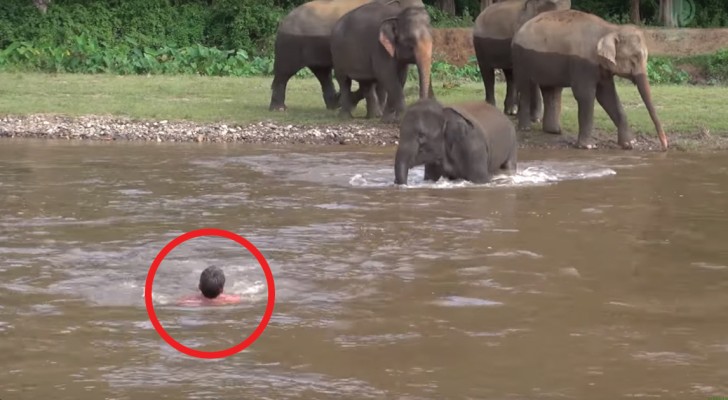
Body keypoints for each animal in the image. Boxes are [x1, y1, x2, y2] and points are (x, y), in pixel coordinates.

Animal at [510, 11, 668, 152]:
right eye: (634, 58)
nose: (665, 147)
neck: (610, 29)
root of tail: (519, 30)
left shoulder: (602, 68)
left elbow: (607, 96)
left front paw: (630, 144)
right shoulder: (583, 63)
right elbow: (585, 95)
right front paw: (588, 146)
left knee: (551, 90)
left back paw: (554, 131)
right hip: (520, 58)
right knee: (525, 87)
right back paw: (525, 128)